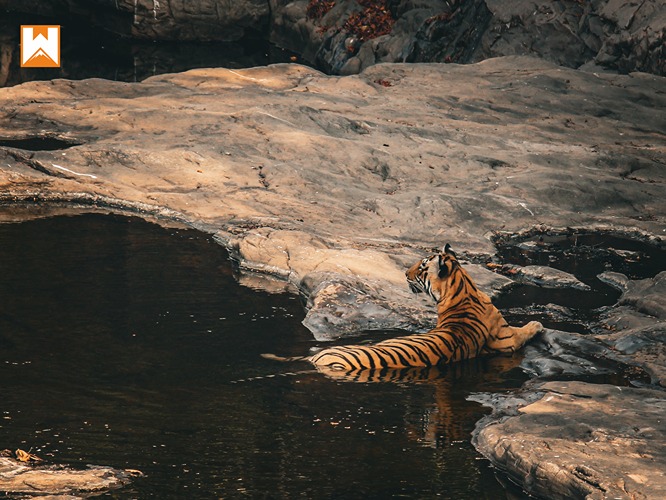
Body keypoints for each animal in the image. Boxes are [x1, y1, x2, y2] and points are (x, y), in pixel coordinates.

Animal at [262, 244, 543, 377]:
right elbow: (524, 330)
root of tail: (317, 358)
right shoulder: (505, 339)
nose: (405, 273)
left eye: (421, 267)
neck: (462, 289)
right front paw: (538, 324)